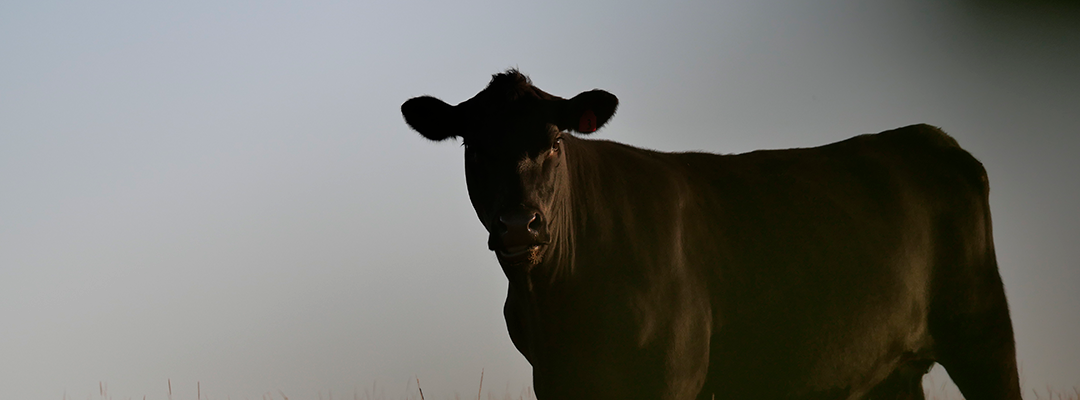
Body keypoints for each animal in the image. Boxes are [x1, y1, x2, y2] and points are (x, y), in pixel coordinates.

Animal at [399, 69, 1019, 399]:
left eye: (554, 141)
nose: (518, 224)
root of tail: (929, 137)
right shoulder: (553, 379)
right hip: (892, 366)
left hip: (983, 331)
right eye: (471, 144)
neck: (556, 305)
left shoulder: (674, 372)